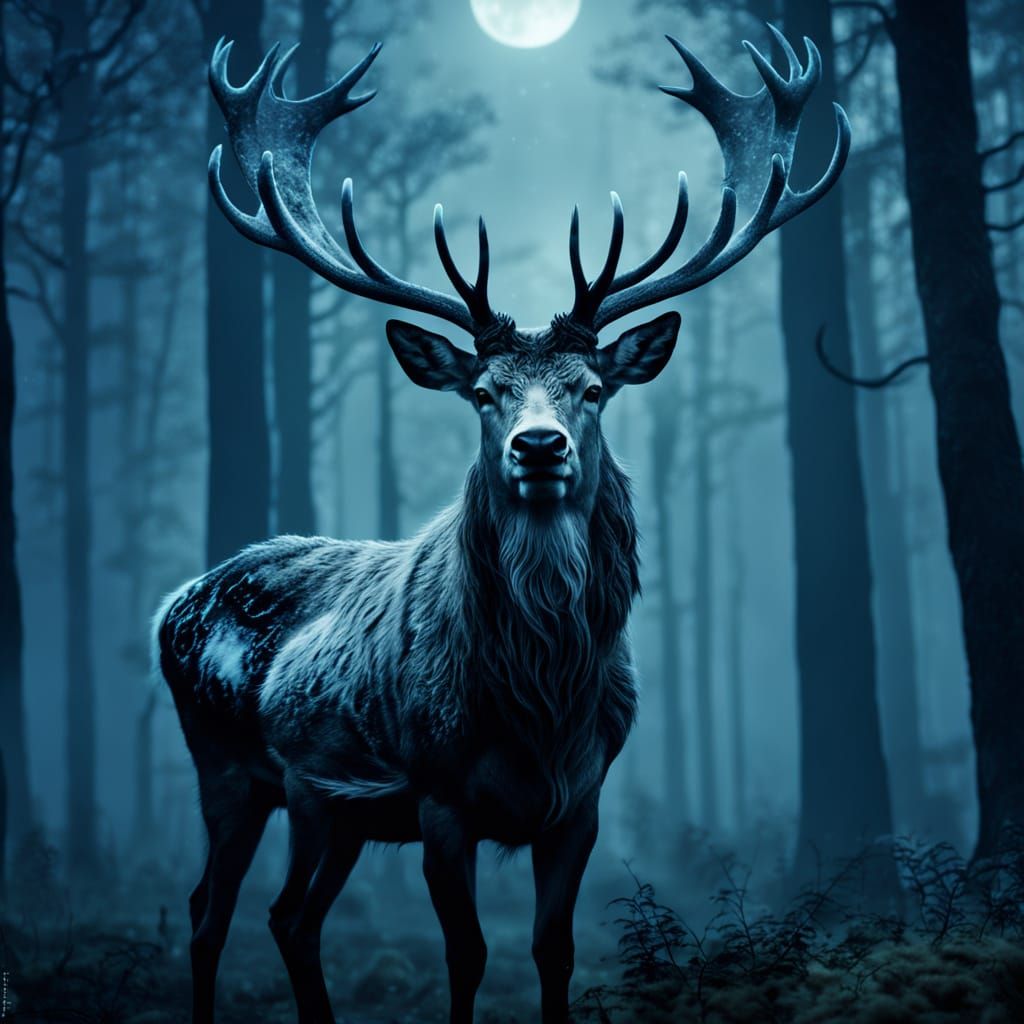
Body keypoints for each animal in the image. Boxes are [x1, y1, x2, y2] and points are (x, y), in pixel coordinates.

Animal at [154, 24, 848, 1024]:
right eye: (483, 393)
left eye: (592, 388)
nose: (539, 444)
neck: (540, 702)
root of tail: (172, 602)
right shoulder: (441, 796)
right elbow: (469, 954)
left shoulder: (582, 800)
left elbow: (553, 950)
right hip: (231, 767)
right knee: (210, 910)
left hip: (336, 808)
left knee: (289, 917)